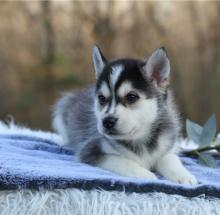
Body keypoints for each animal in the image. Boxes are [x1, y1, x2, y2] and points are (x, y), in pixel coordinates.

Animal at [52, 45, 198, 185]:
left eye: (131, 97)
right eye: (101, 98)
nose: (107, 122)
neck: (140, 139)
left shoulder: (166, 147)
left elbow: (170, 159)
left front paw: (184, 176)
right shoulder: (92, 151)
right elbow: (123, 161)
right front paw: (146, 175)